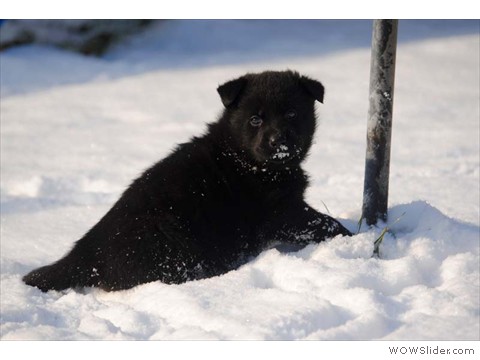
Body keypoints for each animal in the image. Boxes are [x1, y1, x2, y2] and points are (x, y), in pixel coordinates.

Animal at [22, 71, 350, 292]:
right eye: (255, 119)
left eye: (292, 113)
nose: (278, 140)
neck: (249, 160)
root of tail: (85, 254)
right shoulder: (281, 212)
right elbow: (322, 223)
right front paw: (353, 237)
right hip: (176, 248)